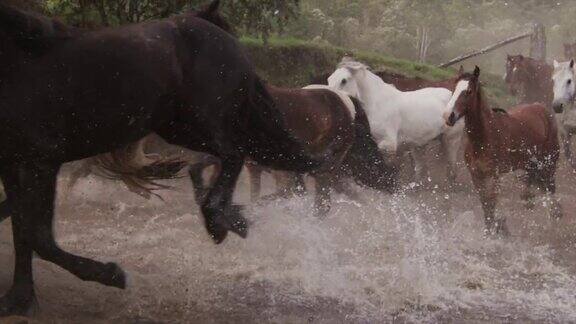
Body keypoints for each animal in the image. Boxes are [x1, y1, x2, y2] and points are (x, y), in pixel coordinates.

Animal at [328, 58, 464, 185]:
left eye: (344, 80)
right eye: (329, 79)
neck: (377, 104)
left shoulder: (388, 146)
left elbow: (390, 170)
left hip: (451, 140)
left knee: (451, 171)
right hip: (419, 146)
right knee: (421, 170)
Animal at [444, 67, 560, 237]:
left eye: (469, 91)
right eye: (454, 89)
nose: (448, 116)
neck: (484, 137)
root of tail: (542, 108)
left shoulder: (494, 175)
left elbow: (491, 202)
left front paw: (493, 231)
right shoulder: (476, 175)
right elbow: (485, 203)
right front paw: (489, 230)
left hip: (549, 164)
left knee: (551, 191)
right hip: (529, 163)